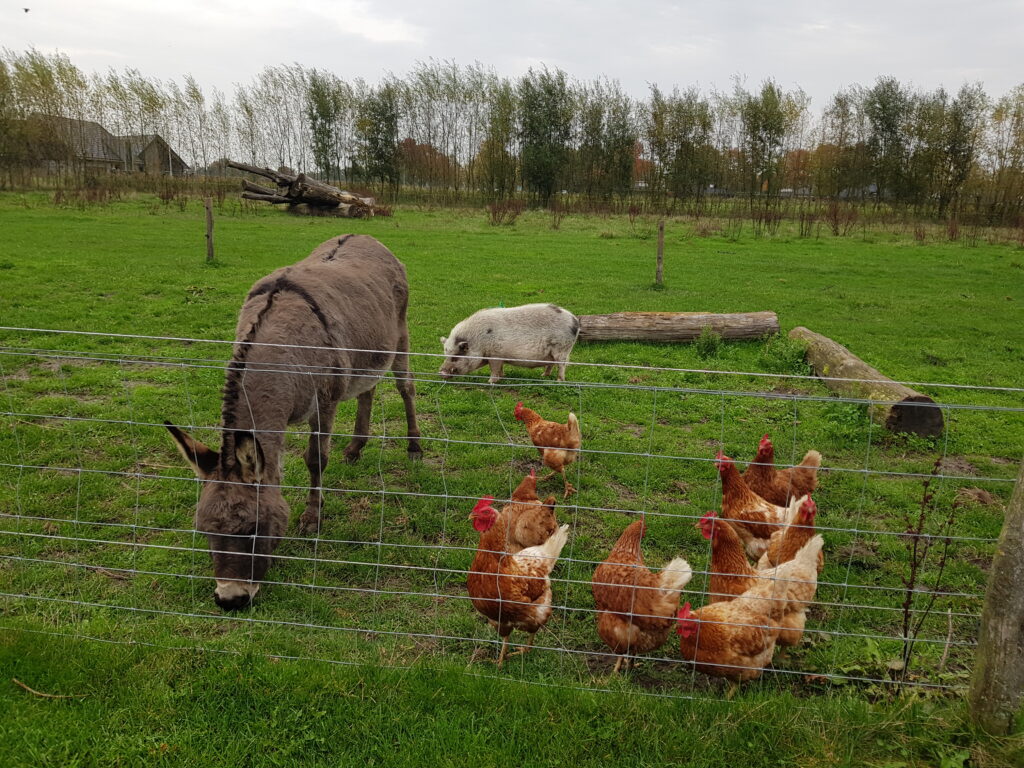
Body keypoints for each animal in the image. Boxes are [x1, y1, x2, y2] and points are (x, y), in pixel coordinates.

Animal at [440, 303, 581, 382]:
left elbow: (494, 368)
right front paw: (503, 376)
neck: (478, 341)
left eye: (455, 357)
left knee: (561, 365)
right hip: (552, 352)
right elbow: (500, 368)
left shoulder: (495, 354)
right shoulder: (500, 356)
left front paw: (490, 382)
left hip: (562, 348)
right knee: (551, 363)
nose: (441, 372)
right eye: (446, 355)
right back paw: (543, 376)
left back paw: (559, 381)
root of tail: (575, 321)